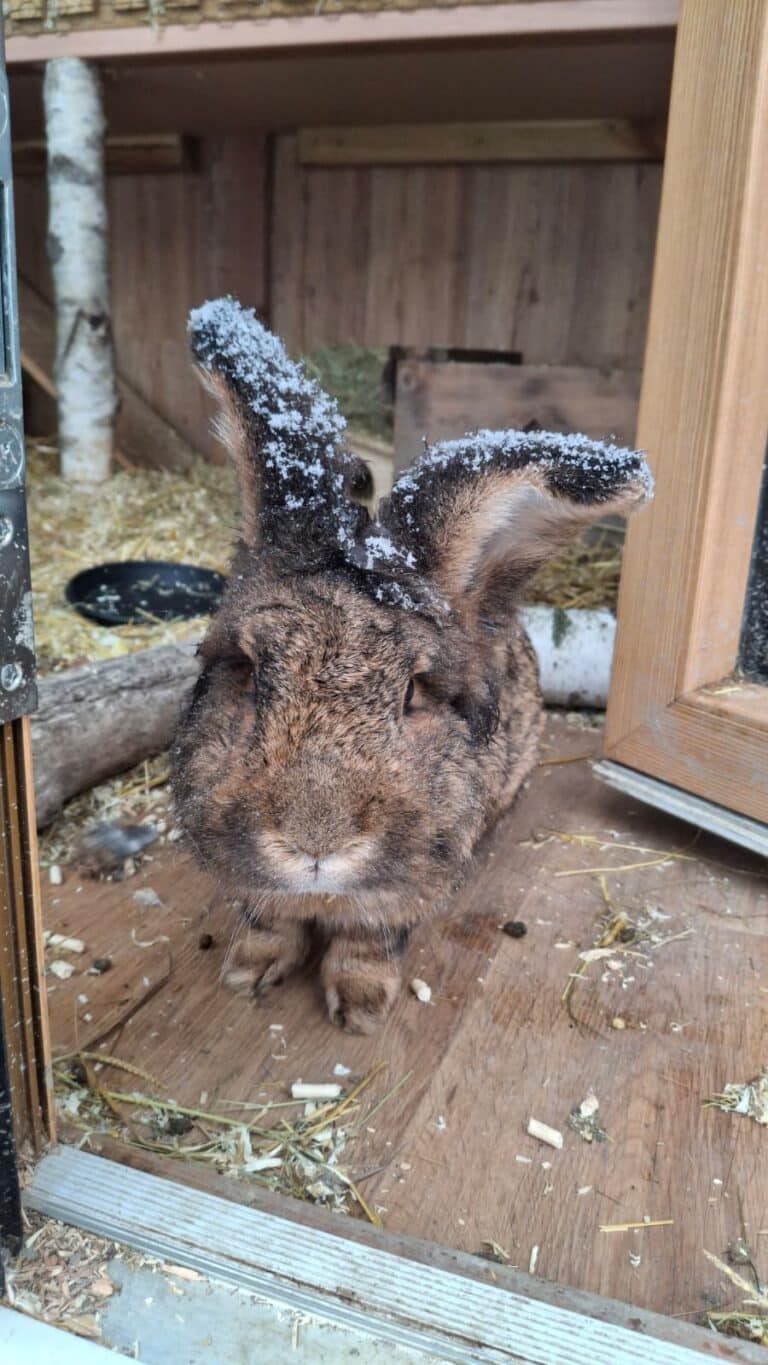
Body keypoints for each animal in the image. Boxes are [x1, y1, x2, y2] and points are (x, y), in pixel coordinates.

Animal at [171, 297, 653, 1034]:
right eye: (249, 671)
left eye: (412, 691)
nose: (315, 842)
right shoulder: (260, 894)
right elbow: (268, 924)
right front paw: (247, 976)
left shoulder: (399, 898)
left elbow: (366, 945)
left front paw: (361, 1010)